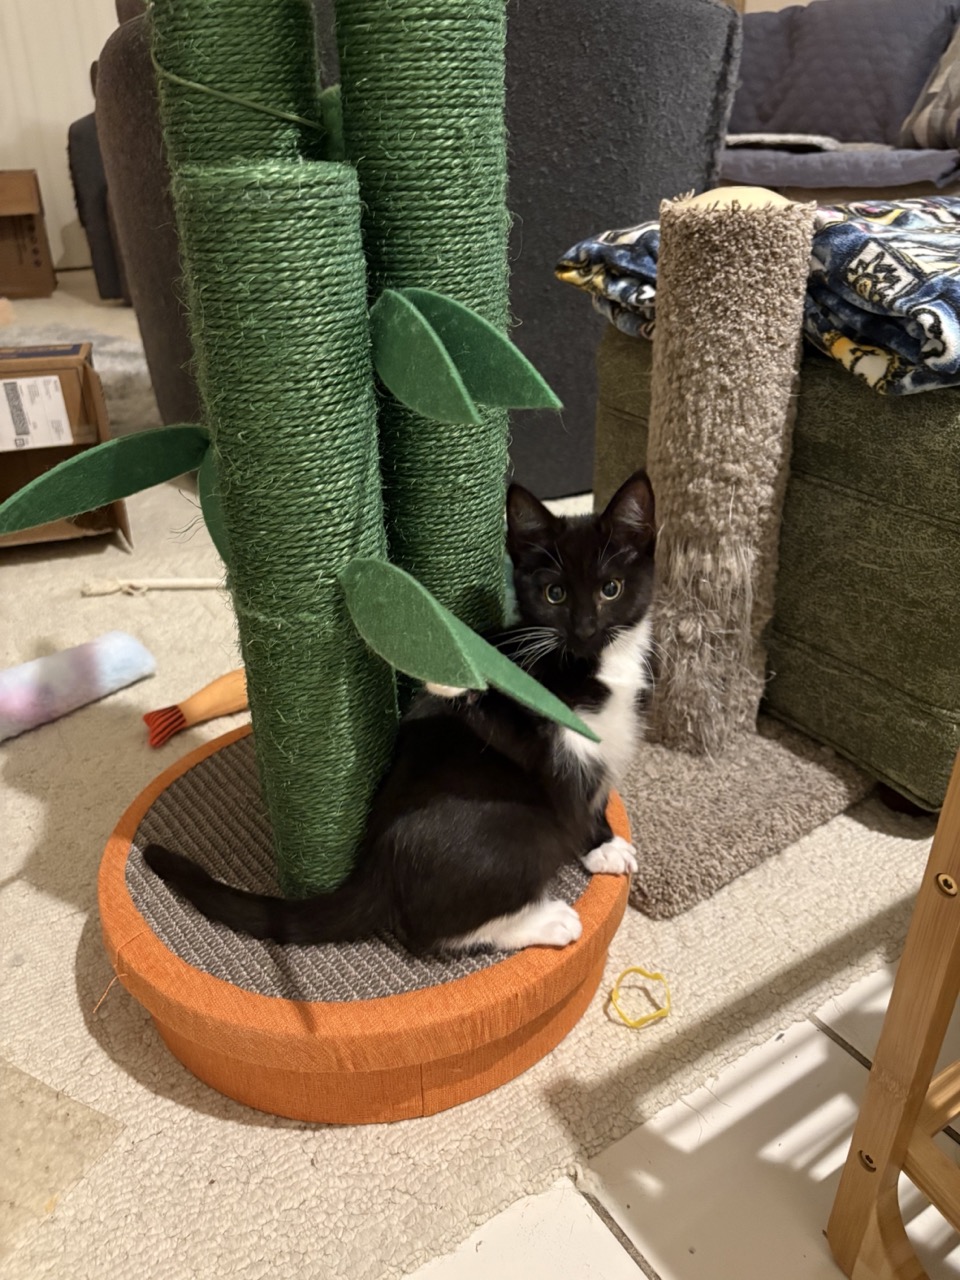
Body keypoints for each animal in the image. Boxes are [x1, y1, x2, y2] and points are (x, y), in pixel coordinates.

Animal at [143, 469, 656, 955]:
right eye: (555, 595)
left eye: (611, 589)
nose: (585, 629)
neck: (592, 666)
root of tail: (378, 863)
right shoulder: (543, 739)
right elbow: (558, 780)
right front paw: (598, 845)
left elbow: (594, 788)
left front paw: (604, 841)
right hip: (520, 826)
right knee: (429, 930)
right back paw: (544, 921)